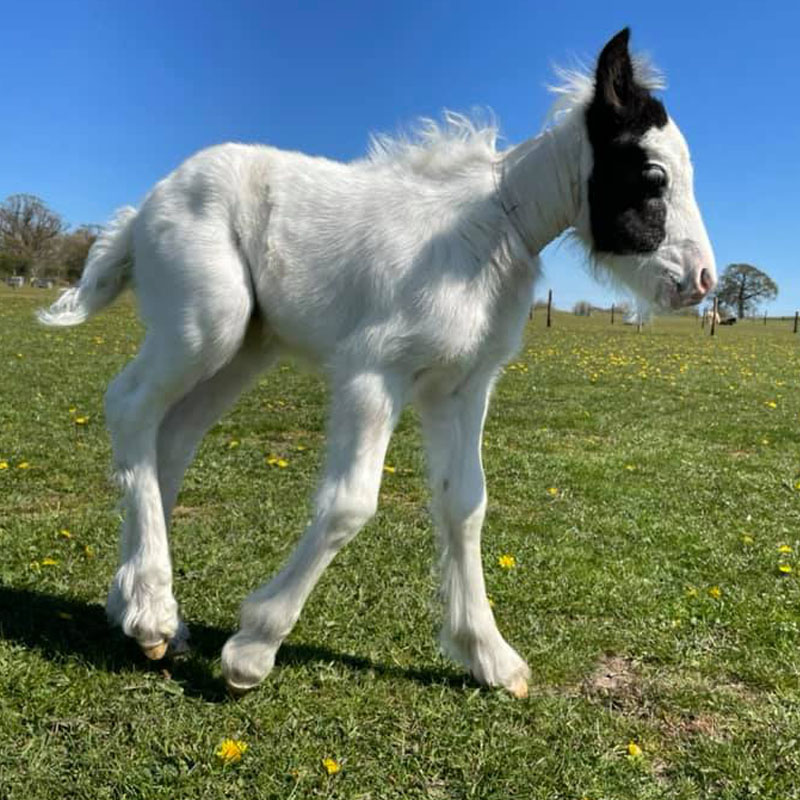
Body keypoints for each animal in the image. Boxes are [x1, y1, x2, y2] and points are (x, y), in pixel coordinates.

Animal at [40, 28, 720, 696]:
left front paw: (490, 657)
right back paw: (153, 611)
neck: (486, 234)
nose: (702, 281)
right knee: (130, 405)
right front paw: (254, 647)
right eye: (653, 175)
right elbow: (350, 503)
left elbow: (465, 502)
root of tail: (143, 208)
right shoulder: (373, 375)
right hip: (207, 324)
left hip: (243, 350)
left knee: (172, 436)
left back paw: (141, 613)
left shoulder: (461, 387)